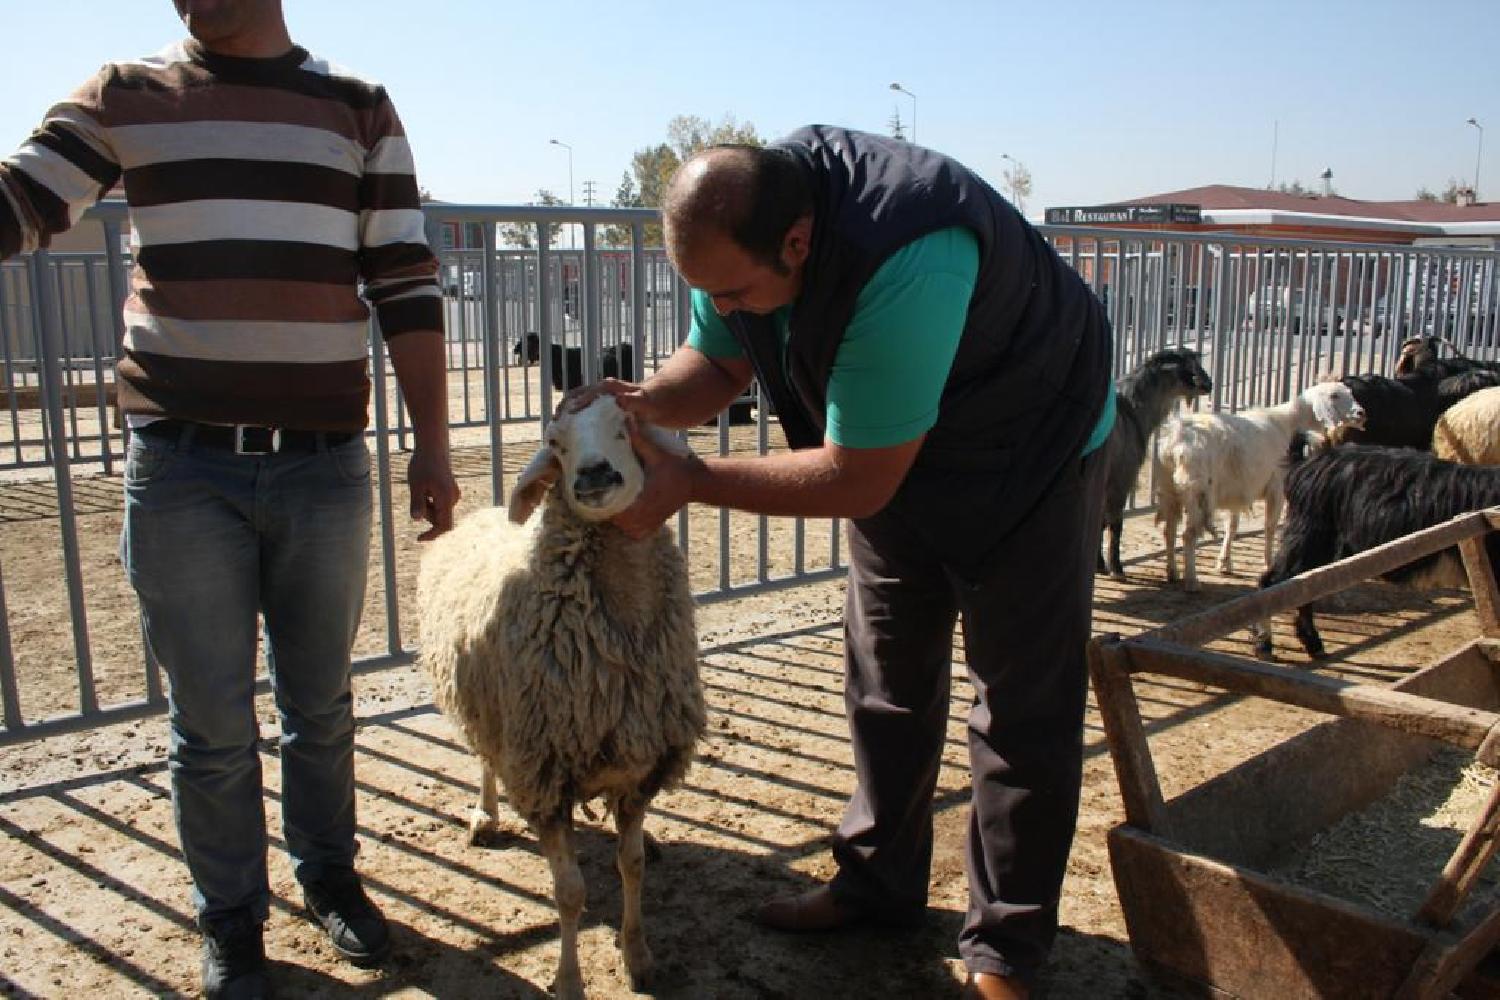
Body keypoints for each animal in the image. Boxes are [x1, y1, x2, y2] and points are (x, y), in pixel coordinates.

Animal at [417, 396, 705, 999]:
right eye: (556, 443)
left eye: (626, 426)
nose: (593, 474)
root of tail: (484, 512)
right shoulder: (544, 773)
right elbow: (569, 893)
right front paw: (569, 980)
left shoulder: (639, 766)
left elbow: (632, 865)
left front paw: (639, 956)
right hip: (490, 709)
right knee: (486, 759)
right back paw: (485, 815)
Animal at [1097, 347, 1214, 577]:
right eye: (1185, 366)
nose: (1208, 384)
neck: (1133, 411)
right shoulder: (1122, 476)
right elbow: (1113, 522)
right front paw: (1115, 567)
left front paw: (1100, 564)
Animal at [1154, 381, 1365, 591]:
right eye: (1334, 395)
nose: (1361, 413)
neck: (1289, 423)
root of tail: (1175, 443)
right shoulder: (1277, 487)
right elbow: (1270, 526)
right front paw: (1268, 563)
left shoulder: (1236, 488)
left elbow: (1232, 526)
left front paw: (1225, 562)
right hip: (1197, 491)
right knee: (1188, 535)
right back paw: (1191, 580)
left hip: (1169, 489)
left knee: (1169, 530)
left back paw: (1172, 572)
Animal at [1249, 444, 1500, 660]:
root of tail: (1305, 464)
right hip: (1308, 536)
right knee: (1273, 583)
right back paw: (1265, 645)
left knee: (1303, 587)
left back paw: (1313, 645)